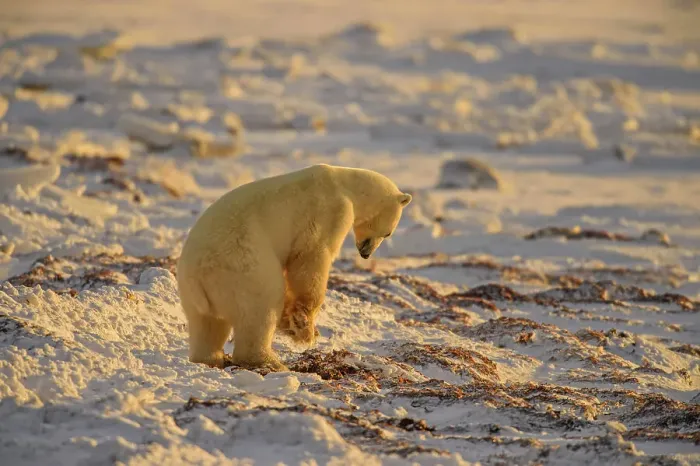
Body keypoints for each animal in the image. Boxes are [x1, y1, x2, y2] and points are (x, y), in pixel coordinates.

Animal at [177, 164, 412, 371]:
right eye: (388, 233)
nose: (366, 253)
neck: (345, 185)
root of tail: (199, 276)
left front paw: (294, 324)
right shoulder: (329, 212)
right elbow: (311, 258)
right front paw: (304, 328)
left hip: (194, 291)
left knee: (207, 325)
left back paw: (210, 359)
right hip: (243, 267)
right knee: (261, 307)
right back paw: (270, 362)